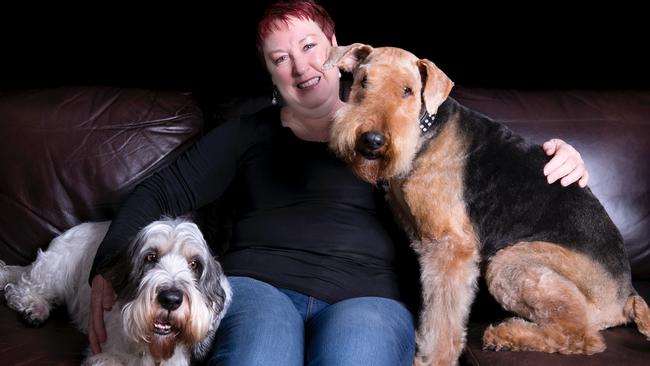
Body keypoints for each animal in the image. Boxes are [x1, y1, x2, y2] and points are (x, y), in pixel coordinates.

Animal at [0, 219, 232, 364]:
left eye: (194, 264)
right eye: (150, 257)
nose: (171, 299)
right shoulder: (105, 356)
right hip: (55, 270)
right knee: (22, 288)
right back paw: (35, 308)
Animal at [324, 45, 648, 366]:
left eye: (408, 90)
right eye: (364, 81)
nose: (372, 140)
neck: (425, 128)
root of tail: (627, 294)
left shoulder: (452, 247)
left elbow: (444, 315)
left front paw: (435, 359)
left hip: (510, 265)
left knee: (580, 336)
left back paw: (503, 335)